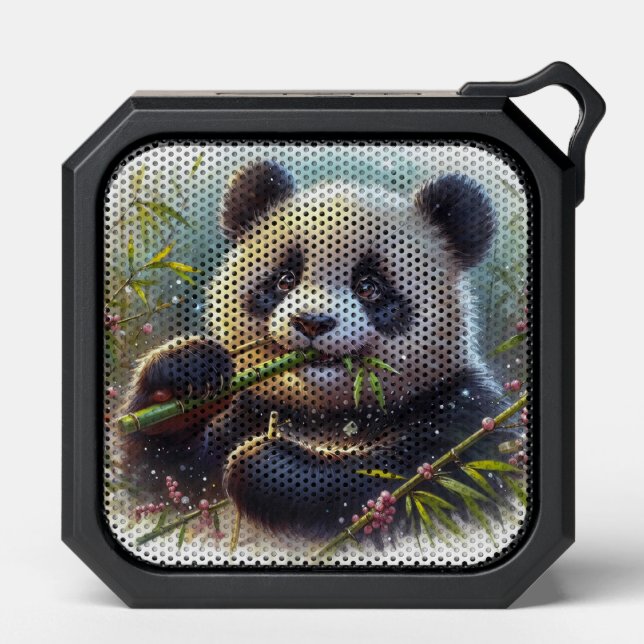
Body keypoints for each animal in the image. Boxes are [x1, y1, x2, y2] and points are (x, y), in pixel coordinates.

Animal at [122, 159, 504, 539]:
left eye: (369, 287)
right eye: (285, 279)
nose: (311, 323)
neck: (325, 412)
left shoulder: (462, 418)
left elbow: (406, 479)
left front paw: (268, 466)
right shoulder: (249, 410)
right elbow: (160, 480)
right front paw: (185, 374)